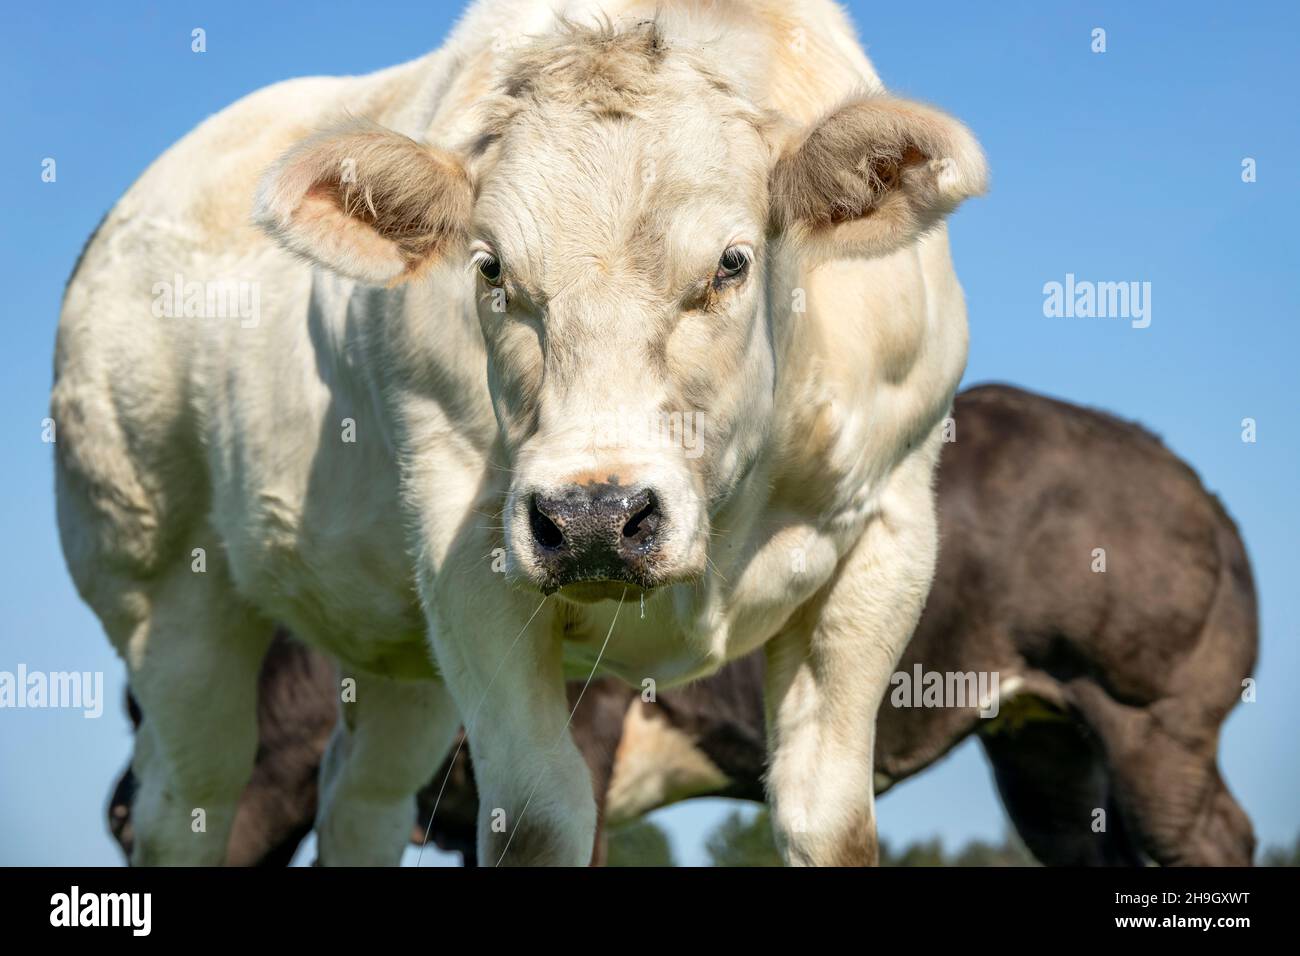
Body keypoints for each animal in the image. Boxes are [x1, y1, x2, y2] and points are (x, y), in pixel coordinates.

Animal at [50, 0, 982, 868]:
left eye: (731, 262)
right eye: (491, 267)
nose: (596, 518)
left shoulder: (891, 533)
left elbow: (829, 819)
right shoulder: (462, 546)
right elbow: (536, 817)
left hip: (393, 656)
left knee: (360, 796)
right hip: (164, 593)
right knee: (189, 801)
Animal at [111, 387, 1258, 868]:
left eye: (123, 825)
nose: (119, 812)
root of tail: (1185, 474)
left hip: (1155, 720)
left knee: (1213, 836)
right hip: (1044, 750)